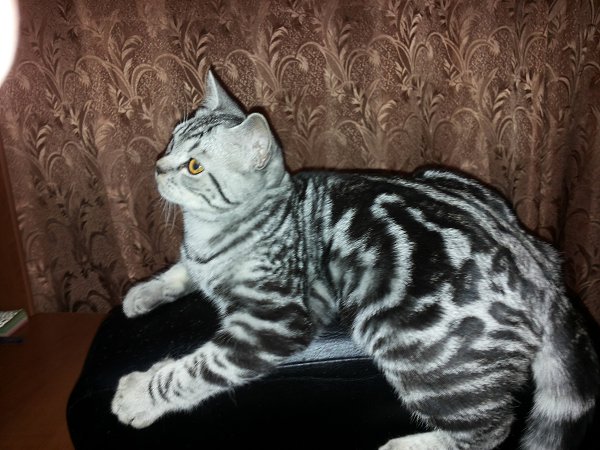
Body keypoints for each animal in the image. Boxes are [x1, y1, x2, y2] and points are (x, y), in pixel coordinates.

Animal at [111, 70, 599, 450]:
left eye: (193, 166)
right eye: (171, 141)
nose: (158, 167)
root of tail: (540, 267)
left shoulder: (274, 322)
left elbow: (198, 369)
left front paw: (140, 395)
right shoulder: (196, 263)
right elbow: (180, 271)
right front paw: (142, 293)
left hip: (405, 337)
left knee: (488, 431)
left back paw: (406, 446)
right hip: (438, 176)